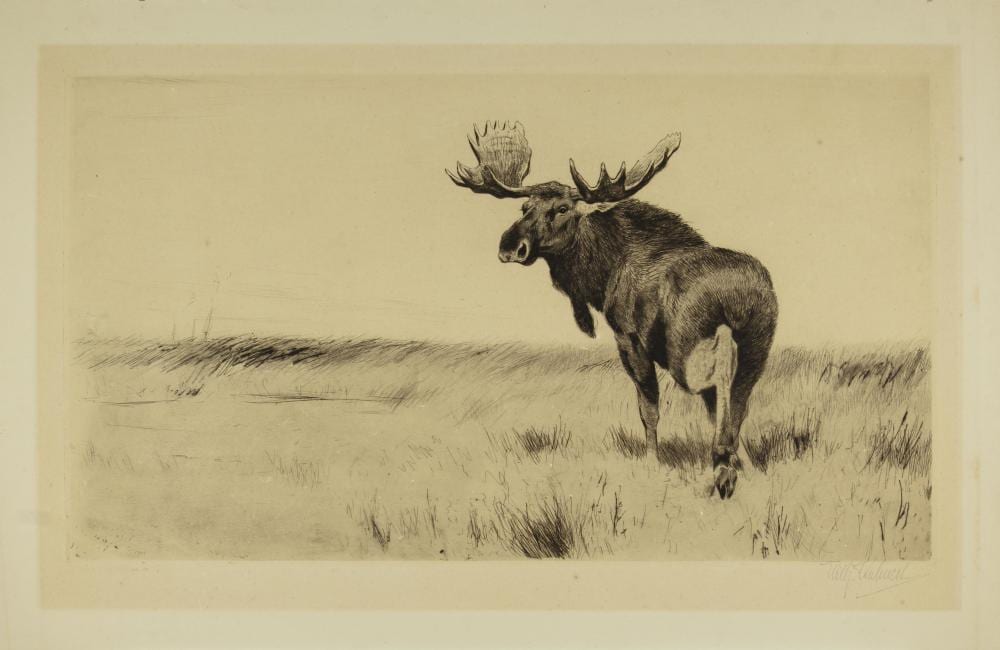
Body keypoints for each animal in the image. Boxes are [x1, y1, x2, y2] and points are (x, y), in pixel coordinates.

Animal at [446, 121, 778, 499]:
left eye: (563, 208)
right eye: (524, 207)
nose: (510, 246)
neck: (602, 276)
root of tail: (737, 295)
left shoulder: (628, 338)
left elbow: (648, 408)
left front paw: (653, 463)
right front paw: (740, 463)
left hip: (689, 344)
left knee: (717, 383)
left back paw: (723, 466)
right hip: (757, 343)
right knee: (738, 397)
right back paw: (740, 463)